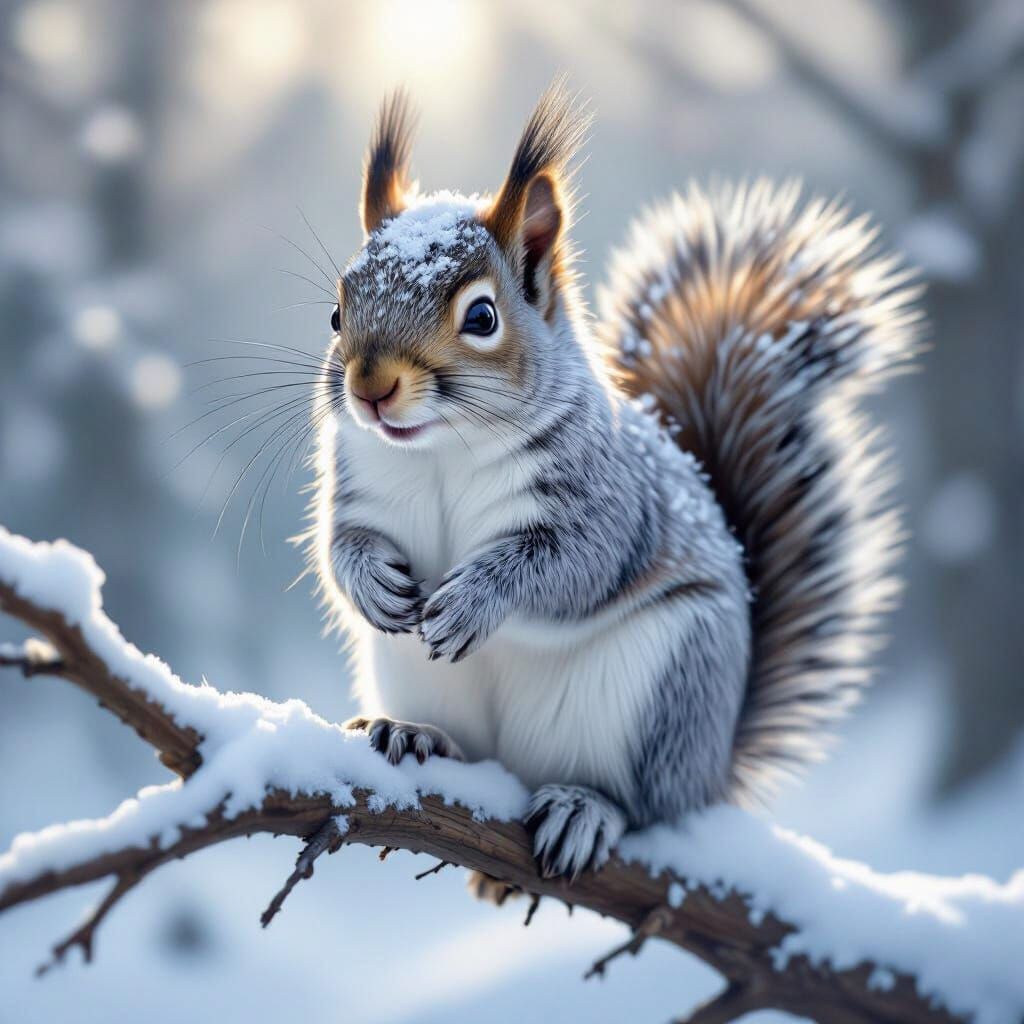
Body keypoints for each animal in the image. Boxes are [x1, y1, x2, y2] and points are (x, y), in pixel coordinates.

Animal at [306, 81, 920, 881]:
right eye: (336, 311)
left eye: (482, 316)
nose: (370, 388)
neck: (442, 451)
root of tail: (711, 771)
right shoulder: (359, 484)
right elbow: (339, 544)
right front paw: (371, 580)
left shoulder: (612, 503)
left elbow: (574, 565)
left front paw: (476, 599)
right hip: (414, 673)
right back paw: (413, 734)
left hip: (665, 693)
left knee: (644, 804)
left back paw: (584, 809)